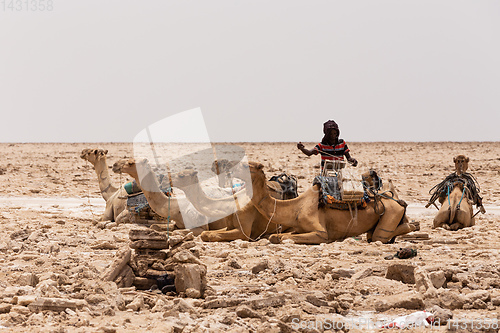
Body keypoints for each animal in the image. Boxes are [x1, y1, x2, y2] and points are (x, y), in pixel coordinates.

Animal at [232, 161, 416, 244]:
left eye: (247, 166)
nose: (228, 165)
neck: (295, 208)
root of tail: (396, 199)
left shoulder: (320, 232)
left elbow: (280, 237)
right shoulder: (298, 227)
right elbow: (275, 235)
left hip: (391, 212)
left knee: (380, 235)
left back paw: (415, 225)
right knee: (374, 235)